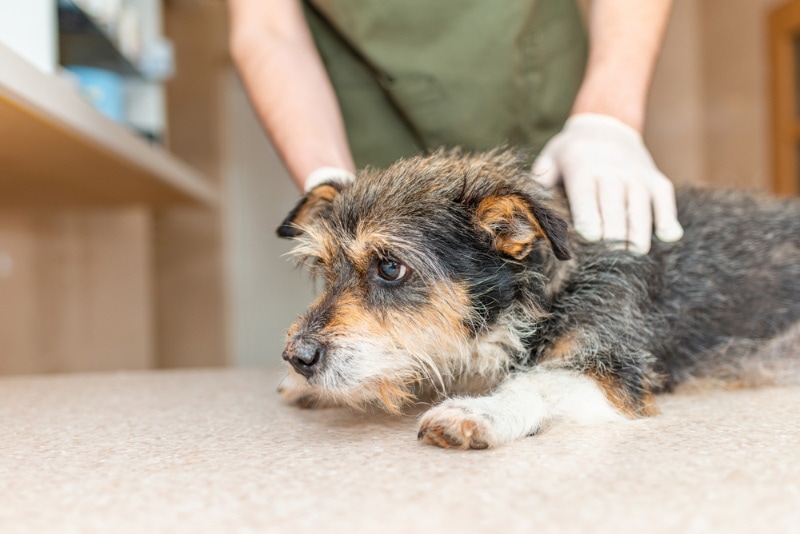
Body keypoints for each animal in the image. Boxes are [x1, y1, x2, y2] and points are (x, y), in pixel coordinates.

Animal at [274, 149, 800, 450]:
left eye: (389, 267)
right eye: (326, 269)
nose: (298, 356)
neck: (545, 292)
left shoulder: (612, 369)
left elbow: (535, 383)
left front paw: (478, 411)